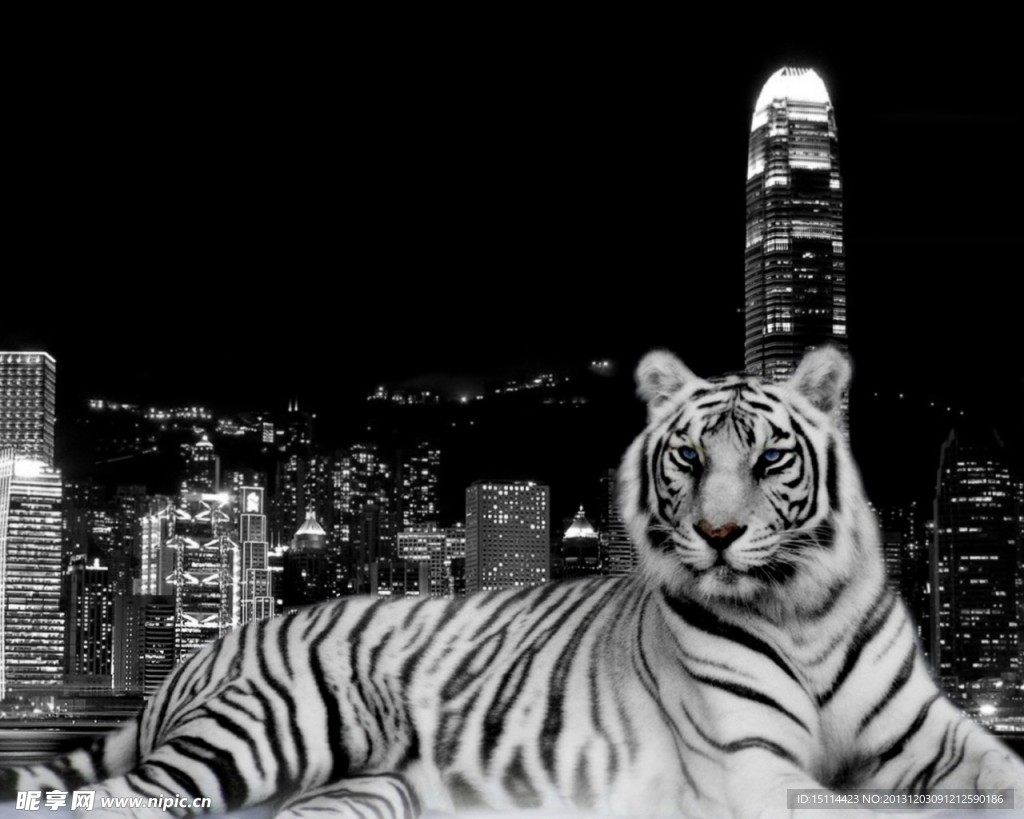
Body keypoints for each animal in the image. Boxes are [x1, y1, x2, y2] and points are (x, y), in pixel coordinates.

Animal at [2, 346, 1022, 818]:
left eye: (770, 456)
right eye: (689, 457)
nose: (719, 535)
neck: (801, 607)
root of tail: (207, 647)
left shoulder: (939, 735)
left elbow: (1001, 772)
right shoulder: (751, 762)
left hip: (374, 788)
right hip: (268, 730)